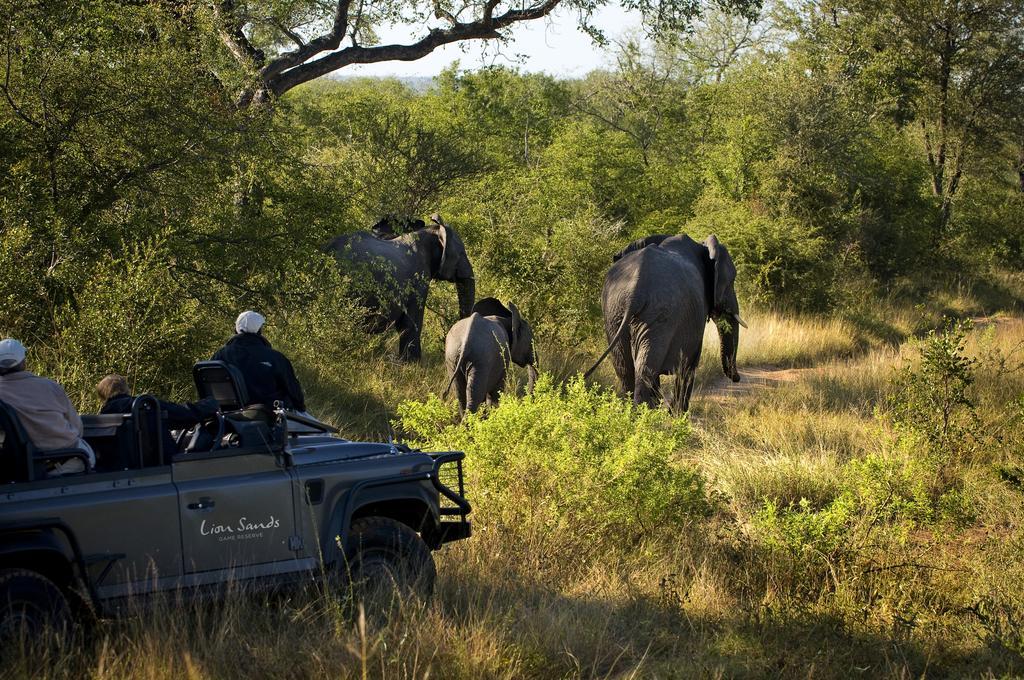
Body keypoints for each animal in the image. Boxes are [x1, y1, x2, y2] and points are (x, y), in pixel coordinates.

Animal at [589, 233, 749, 413]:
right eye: (731, 281)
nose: (737, 378)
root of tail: (635, 292)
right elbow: (689, 364)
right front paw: (678, 415)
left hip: (614, 311)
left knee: (625, 368)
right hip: (659, 315)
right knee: (646, 369)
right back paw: (645, 415)